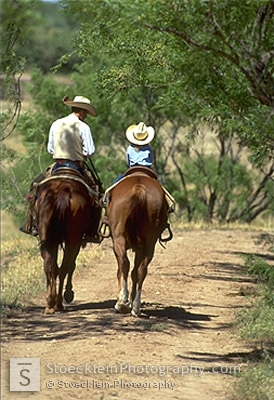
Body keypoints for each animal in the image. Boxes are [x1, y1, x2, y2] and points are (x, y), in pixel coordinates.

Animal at [34, 175, 101, 316]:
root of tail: (63, 192)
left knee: (50, 265)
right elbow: (71, 265)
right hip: (73, 239)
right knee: (64, 267)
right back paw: (59, 303)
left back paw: (50, 304)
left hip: (47, 236)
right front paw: (69, 293)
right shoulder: (76, 241)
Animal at [104, 166, 172, 316]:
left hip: (119, 238)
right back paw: (135, 306)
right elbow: (135, 272)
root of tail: (139, 189)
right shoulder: (139, 247)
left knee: (123, 263)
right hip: (149, 244)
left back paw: (122, 303)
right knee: (141, 270)